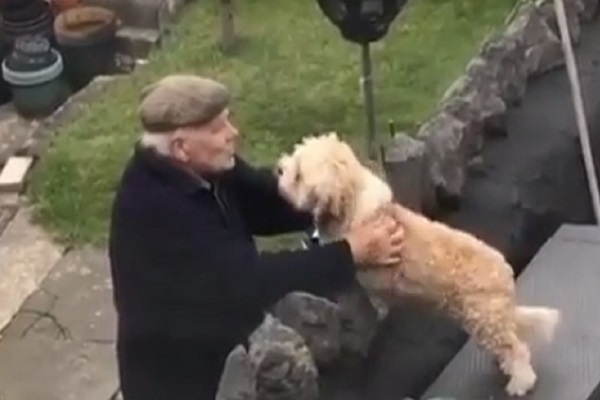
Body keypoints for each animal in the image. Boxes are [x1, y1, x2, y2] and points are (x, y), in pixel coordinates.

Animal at [276, 132, 564, 396]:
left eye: (298, 174)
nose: (279, 168)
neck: (353, 203)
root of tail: (506, 275)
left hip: (485, 319)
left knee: (517, 349)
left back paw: (520, 383)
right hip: (488, 321)